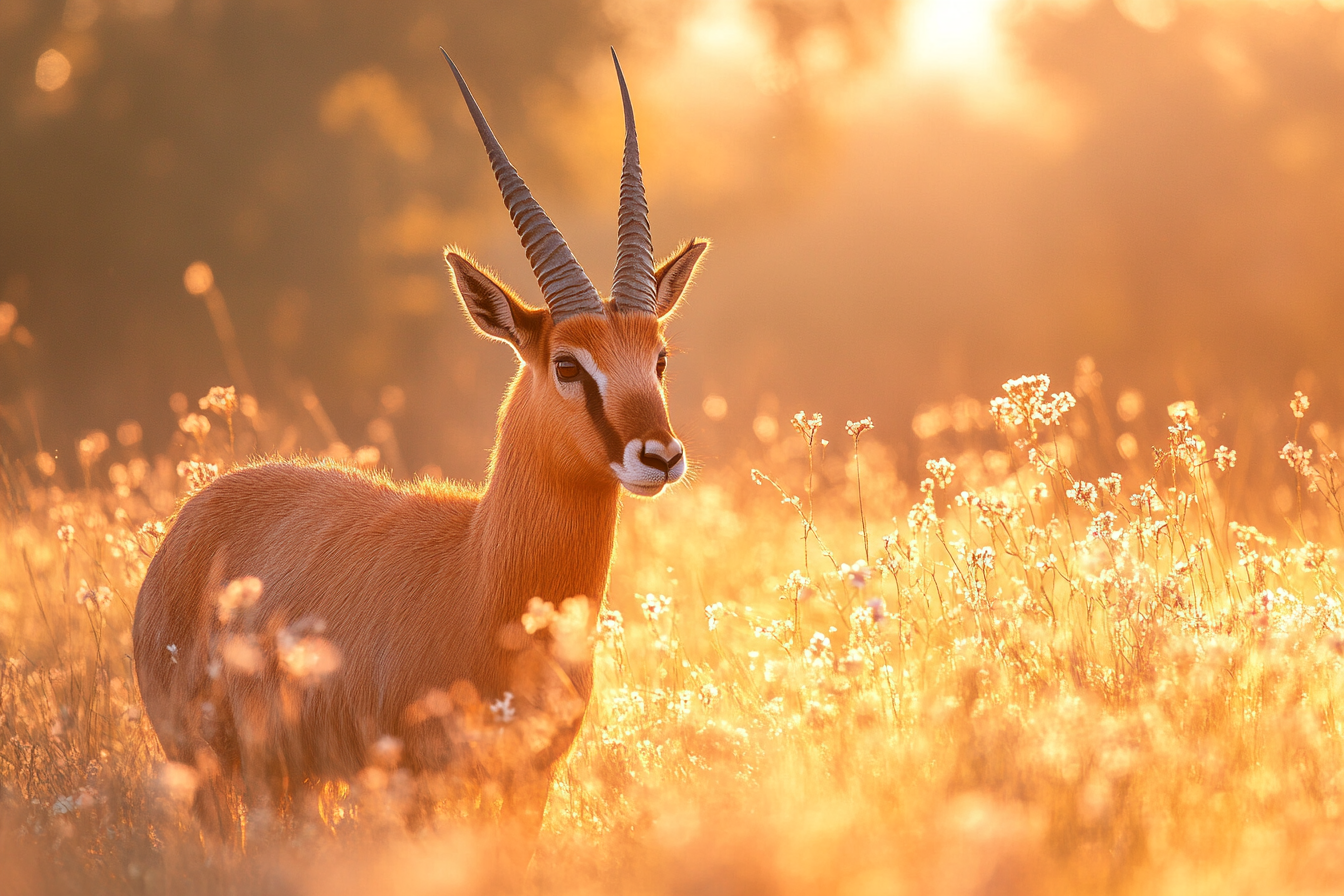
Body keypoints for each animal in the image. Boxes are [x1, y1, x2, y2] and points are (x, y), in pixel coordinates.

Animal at [131, 47, 709, 854]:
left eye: (658, 356)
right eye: (567, 364)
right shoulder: (416, 789)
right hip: (211, 770)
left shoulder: (529, 786)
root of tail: (192, 513)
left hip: (294, 782)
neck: (479, 573)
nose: (658, 456)